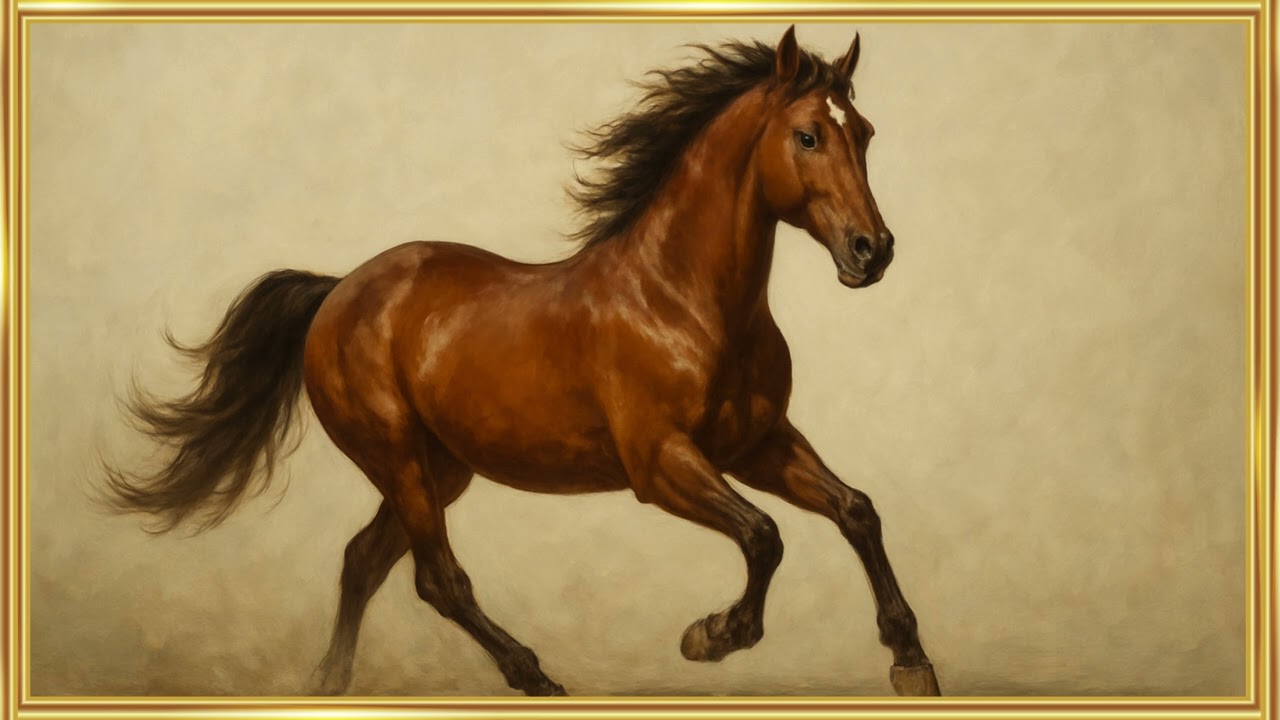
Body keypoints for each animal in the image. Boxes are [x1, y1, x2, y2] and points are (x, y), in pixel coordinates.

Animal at [103, 26, 940, 698]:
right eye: (808, 135)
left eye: (864, 132)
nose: (873, 251)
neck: (684, 299)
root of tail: (338, 290)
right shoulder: (661, 462)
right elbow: (765, 534)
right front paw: (712, 636)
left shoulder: (757, 442)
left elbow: (856, 509)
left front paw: (911, 660)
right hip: (398, 457)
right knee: (437, 578)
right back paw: (533, 674)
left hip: (439, 467)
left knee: (362, 560)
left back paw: (329, 681)